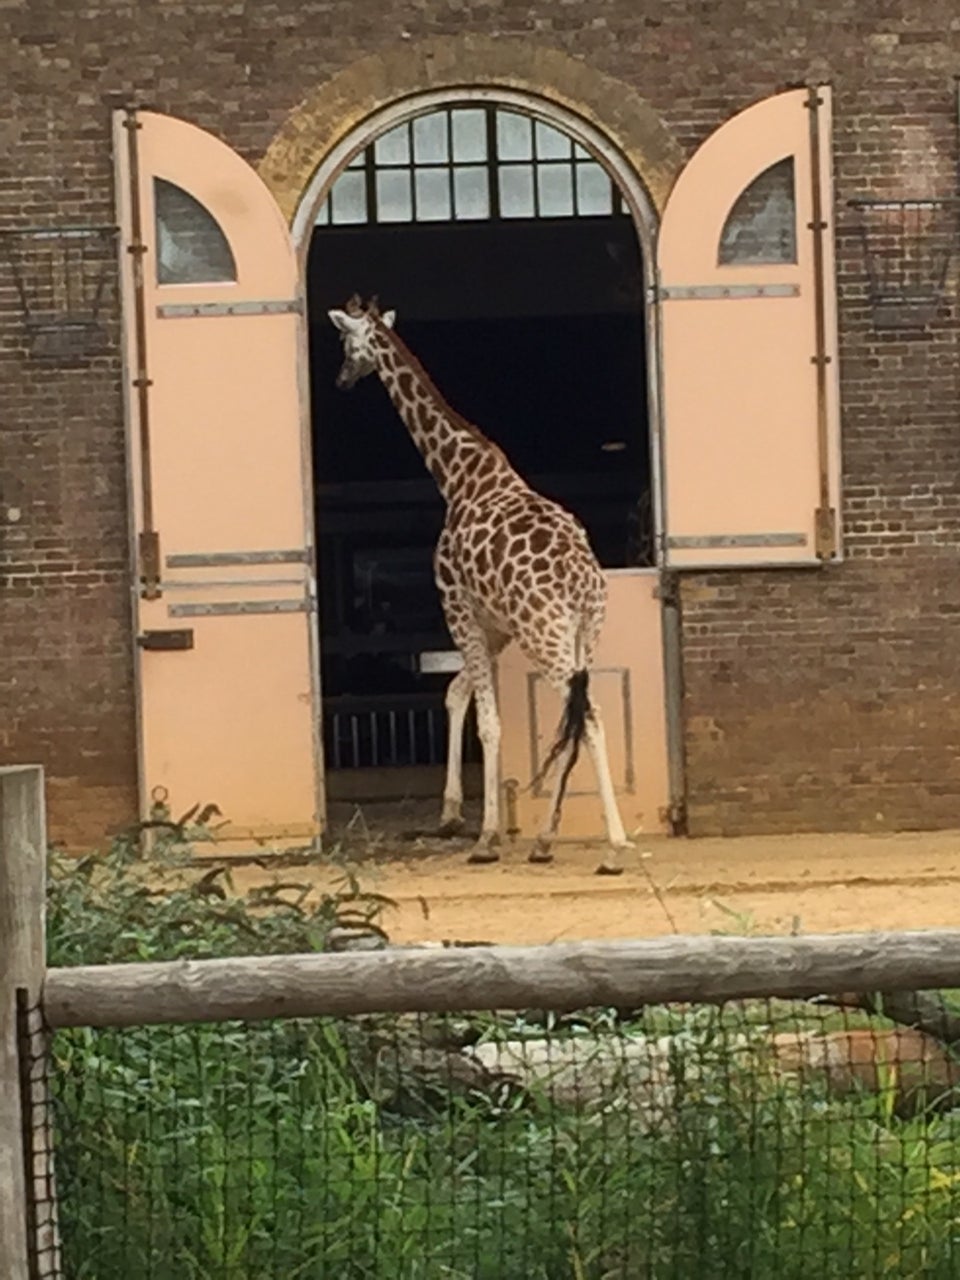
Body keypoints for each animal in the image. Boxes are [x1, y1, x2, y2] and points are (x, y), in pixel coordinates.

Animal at [330, 294, 632, 875]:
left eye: (346, 342)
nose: (341, 380)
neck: (458, 474)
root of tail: (581, 584)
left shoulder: (458, 607)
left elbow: (488, 722)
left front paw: (486, 837)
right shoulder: (494, 625)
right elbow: (457, 693)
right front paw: (454, 816)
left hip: (546, 636)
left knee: (590, 716)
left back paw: (614, 846)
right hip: (586, 634)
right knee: (577, 716)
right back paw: (544, 840)